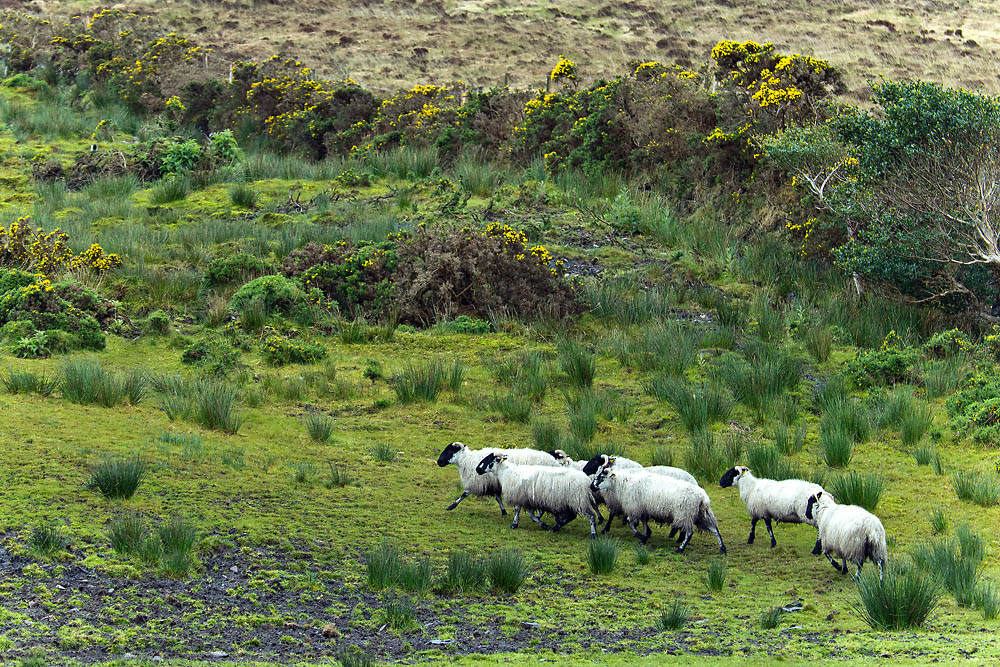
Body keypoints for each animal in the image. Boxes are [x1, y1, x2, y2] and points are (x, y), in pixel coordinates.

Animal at [591, 468, 726, 553]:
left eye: (602, 477)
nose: (591, 487)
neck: (623, 484)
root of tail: (702, 497)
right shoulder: (643, 509)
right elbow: (644, 523)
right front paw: (644, 537)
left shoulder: (634, 507)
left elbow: (630, 522)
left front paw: (640, 536)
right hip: (702, 515)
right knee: (715, 529)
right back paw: (722, 548)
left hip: (685, 514)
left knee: (689, 533)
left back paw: (680, 549)